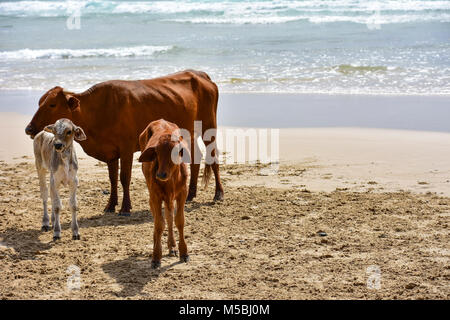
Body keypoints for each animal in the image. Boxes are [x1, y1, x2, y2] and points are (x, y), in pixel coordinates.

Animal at [23, 70, 224, 215]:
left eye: (52, 104)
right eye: (39, 102)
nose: (29, 128)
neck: (99, 111)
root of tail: (200, 74)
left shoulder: (126, 148)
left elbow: (124, 177)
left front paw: (125, 208)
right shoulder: (111, 153)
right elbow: (112, 179)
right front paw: (110, 205)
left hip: (209, 126)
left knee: (213, 157)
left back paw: (218, 194)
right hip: (190, 133)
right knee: (196, 158)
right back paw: (191, 194)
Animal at [140, 119, 191, 268]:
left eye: (176, 152)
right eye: (156, 152)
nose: (161, 174)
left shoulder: (183, 194)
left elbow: (179, 221)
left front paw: (184, 252)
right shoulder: (155, 196)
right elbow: (159, 224)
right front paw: (156, 256)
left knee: (169, 217)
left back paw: (172, 246)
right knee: (158, 217)